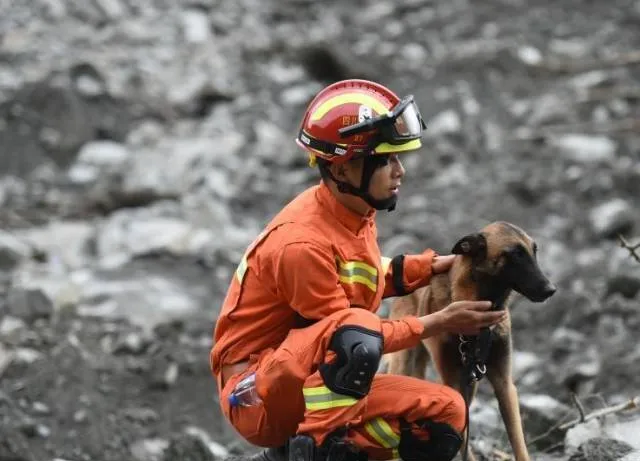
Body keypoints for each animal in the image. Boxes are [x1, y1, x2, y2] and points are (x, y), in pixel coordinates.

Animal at [384, 221, 556, 460]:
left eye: (534, 251)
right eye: (515, 254)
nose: (551, 290)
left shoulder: (504, 384)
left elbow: (519, 443)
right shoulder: (454, 385)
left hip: (470, 384)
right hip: (404, 363)